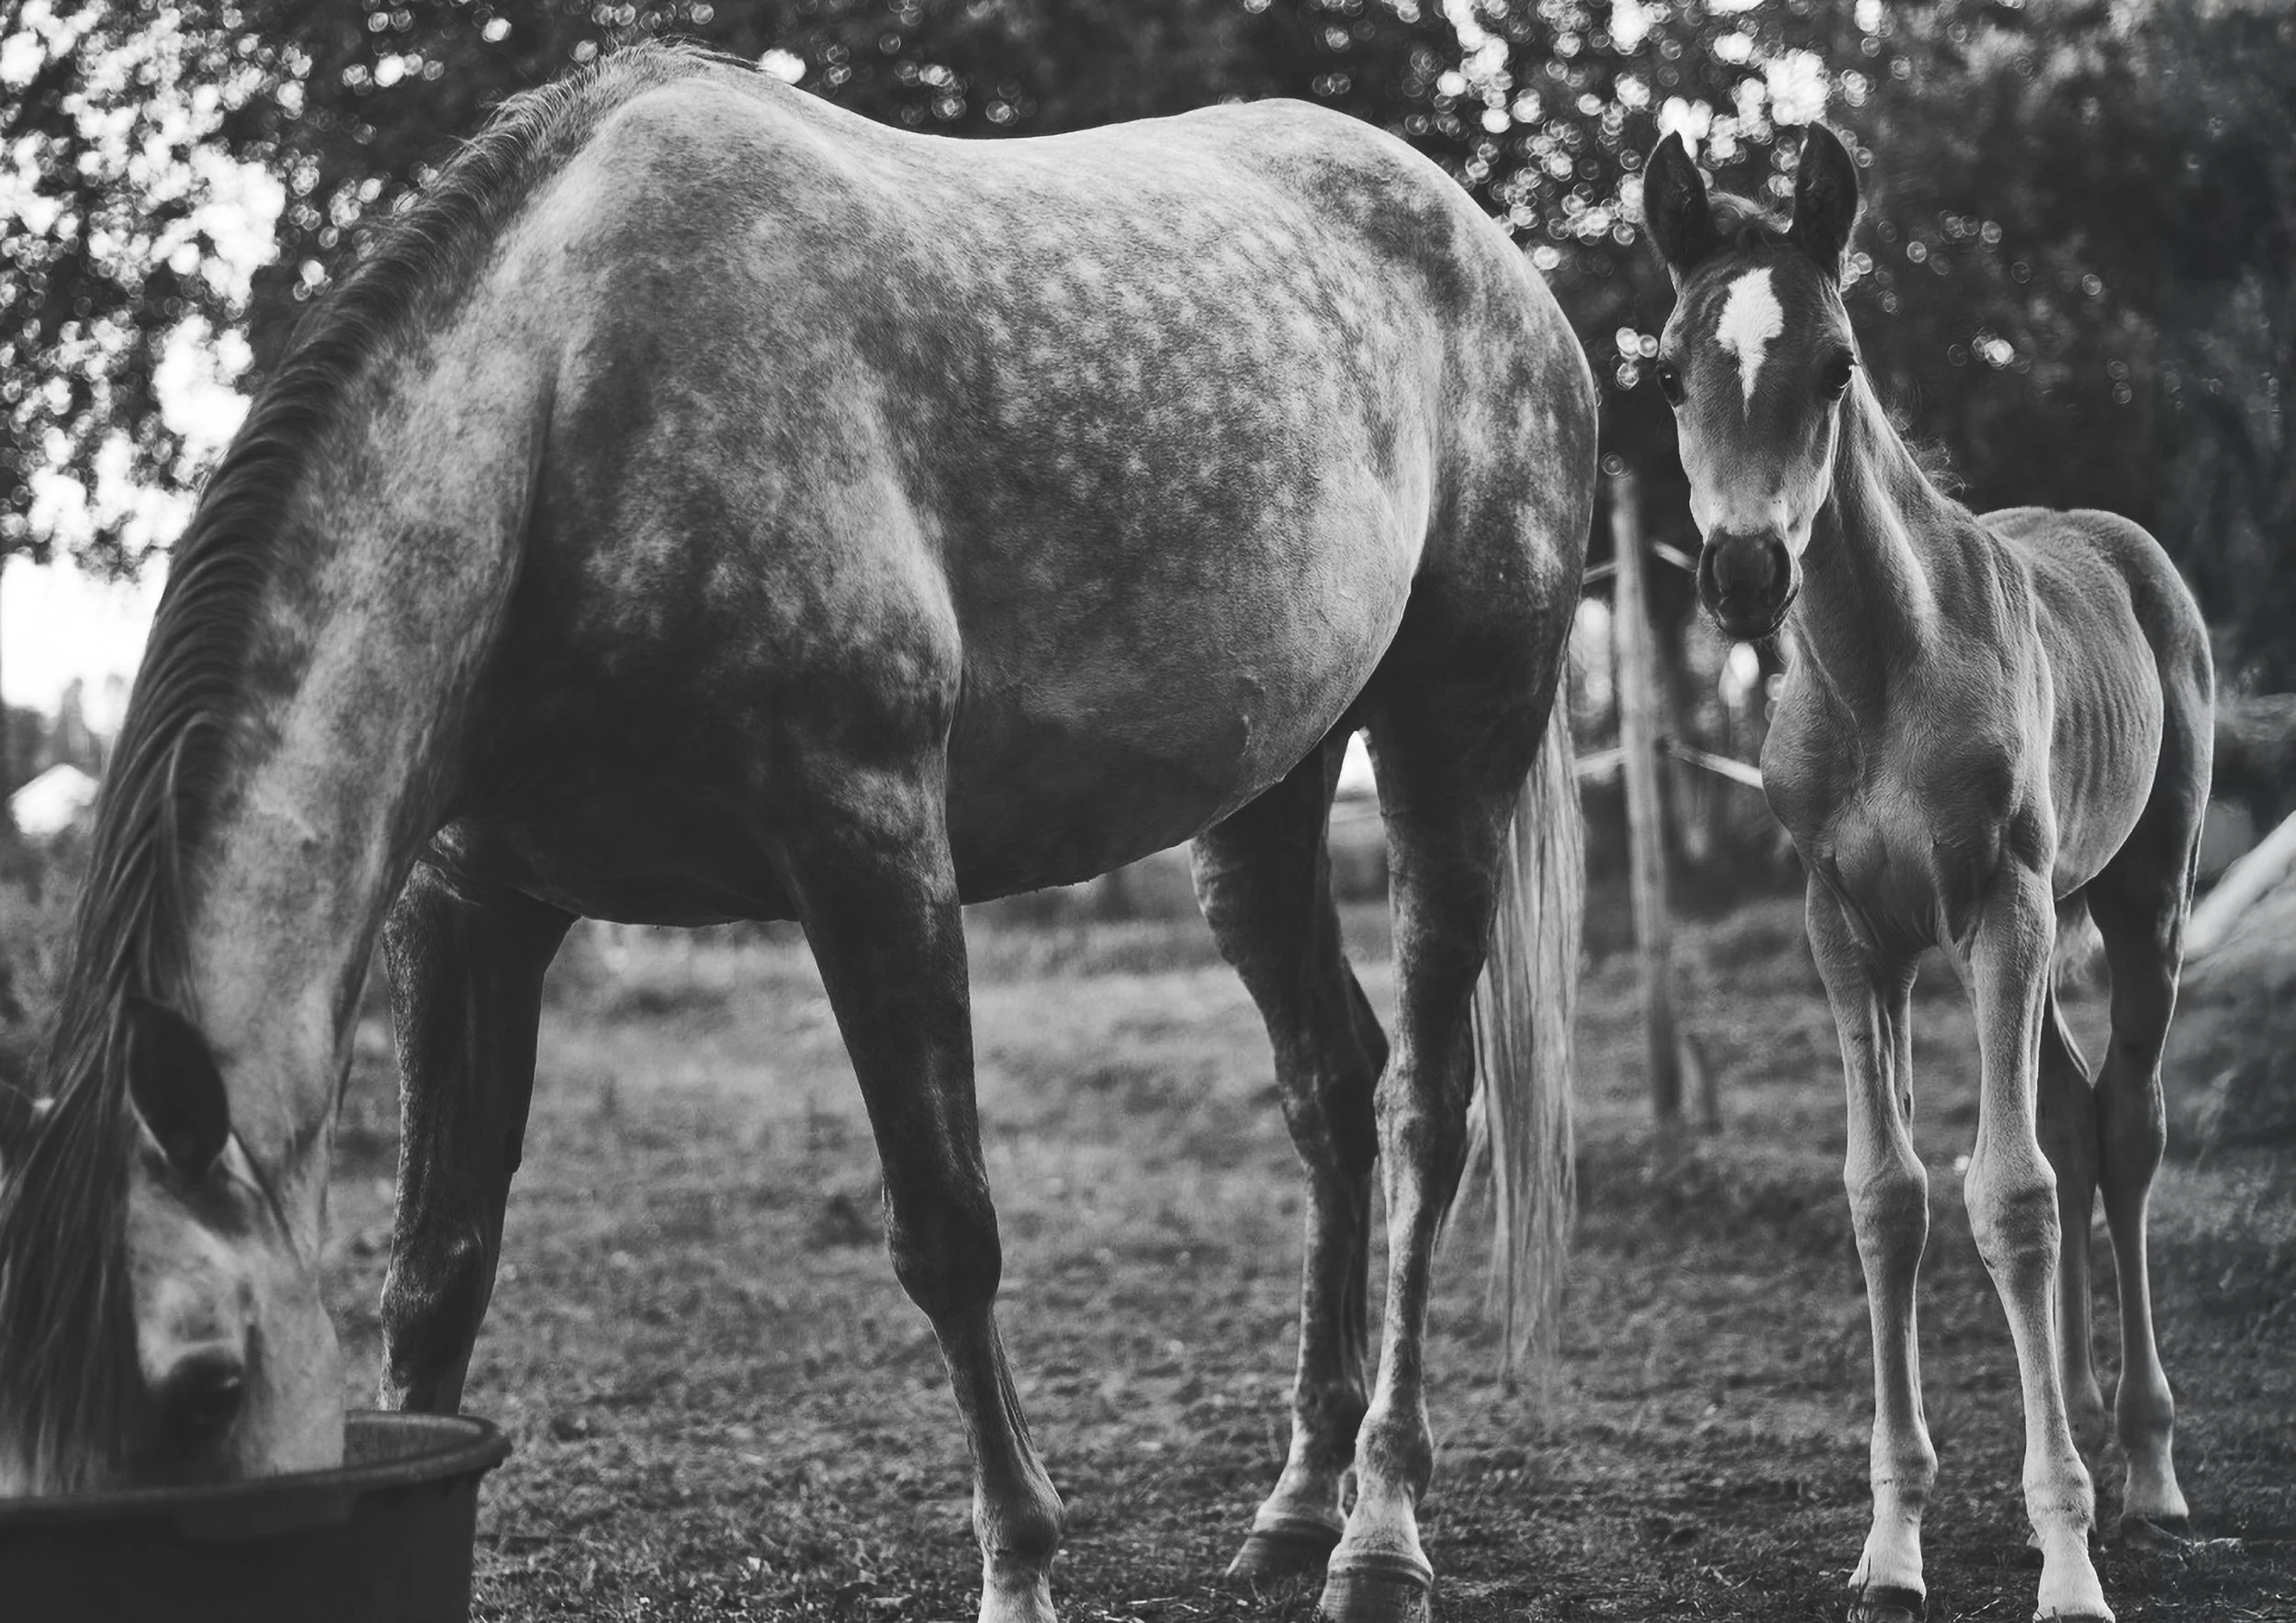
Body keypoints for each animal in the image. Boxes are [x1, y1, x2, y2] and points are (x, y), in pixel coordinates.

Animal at [0, 41, 1595, 1623]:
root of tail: (1494, 252)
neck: (567, 413)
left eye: (206, 1387)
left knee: (1427, 1108)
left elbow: (946, 1230)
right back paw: (1292, 1504)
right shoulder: (472, 905)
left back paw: (1378, 1530)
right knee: (1331, 1086)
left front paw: (1021, 1561)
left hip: (1453, 739)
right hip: (1266, 801)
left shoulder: (869, 846)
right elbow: (437, 1264)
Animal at [1643, 125, 2210, 1623]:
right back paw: (2077, 1427)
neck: (1875, 668)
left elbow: (2006, 1194)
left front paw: (2068, 1555)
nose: (1741, 572)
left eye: (1837, 364)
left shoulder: (1998, 905)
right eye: (1664, 372)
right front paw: (1892, 1543)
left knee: (2123, 1128)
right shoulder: (1850, 930)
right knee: (2069, 1113)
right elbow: (1887, 1195)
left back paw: (2144, 1468)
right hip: (2049, 920)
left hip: (2133, 902)